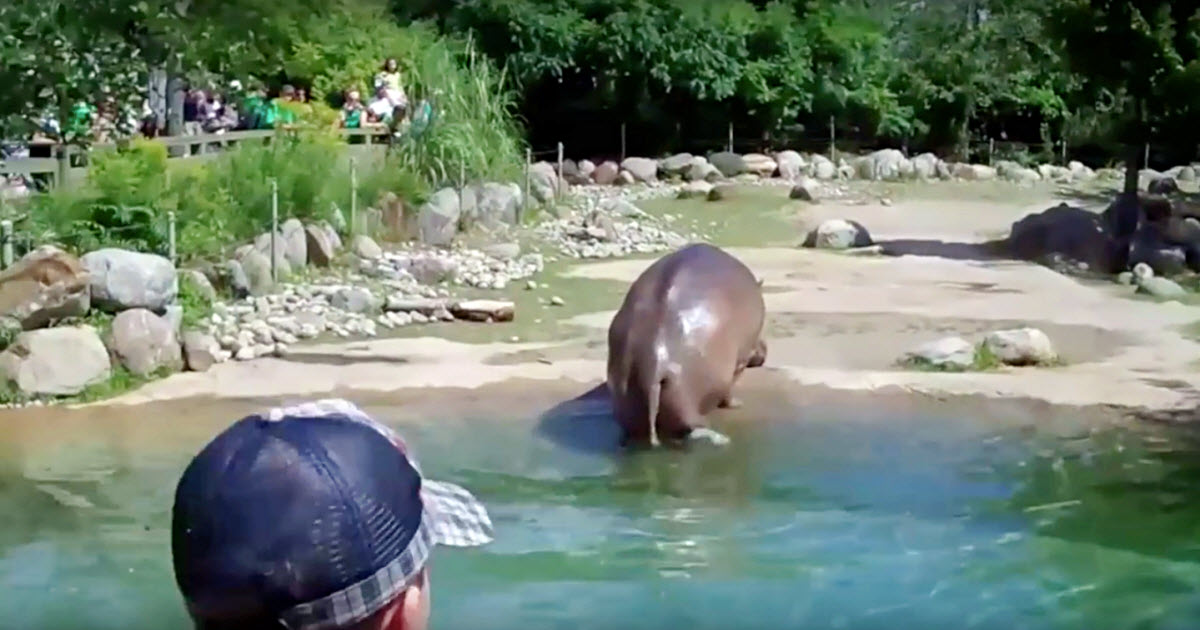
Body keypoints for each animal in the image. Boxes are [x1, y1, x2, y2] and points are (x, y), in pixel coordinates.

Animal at [609, 241, 768, 446]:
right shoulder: (740, 360)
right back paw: (721, 439)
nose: (765, 349)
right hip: (694, 395)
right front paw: (736, 404)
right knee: (695, 424)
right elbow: (731, 387)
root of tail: (654, 358)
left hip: (625, 390)